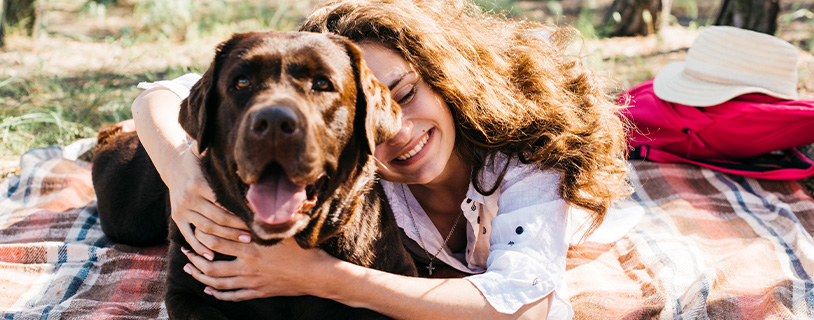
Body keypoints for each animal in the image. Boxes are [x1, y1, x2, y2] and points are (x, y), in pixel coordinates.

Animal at [92, 31, 418, 320]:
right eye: (242, 81)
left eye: (322, 83)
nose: (273, 121)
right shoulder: (184, 292)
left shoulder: (394, 274)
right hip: (127, 216)